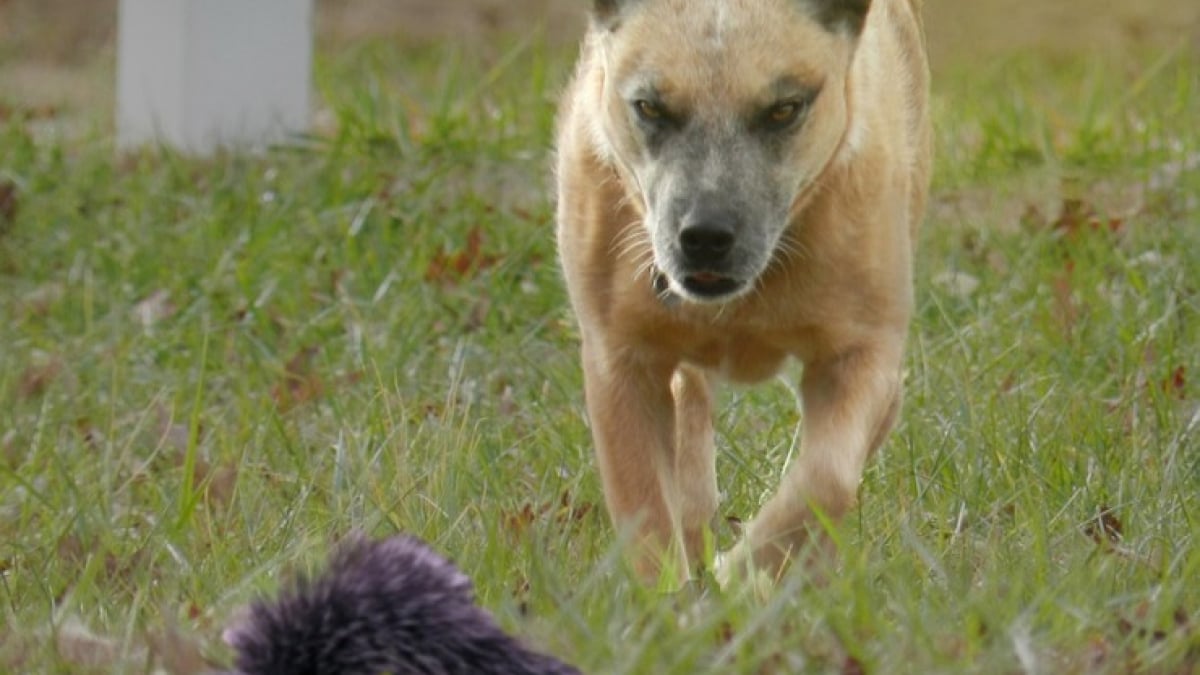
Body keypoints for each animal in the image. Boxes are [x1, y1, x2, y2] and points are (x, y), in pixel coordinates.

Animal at [556, 0, 931, 583]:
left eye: (784, 109)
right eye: (649, 107)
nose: (705, 236)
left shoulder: (867, 355)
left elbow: (826, 477)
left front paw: (743, 577)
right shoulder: (620, 361)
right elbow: (645, 509)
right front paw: (671, 597)